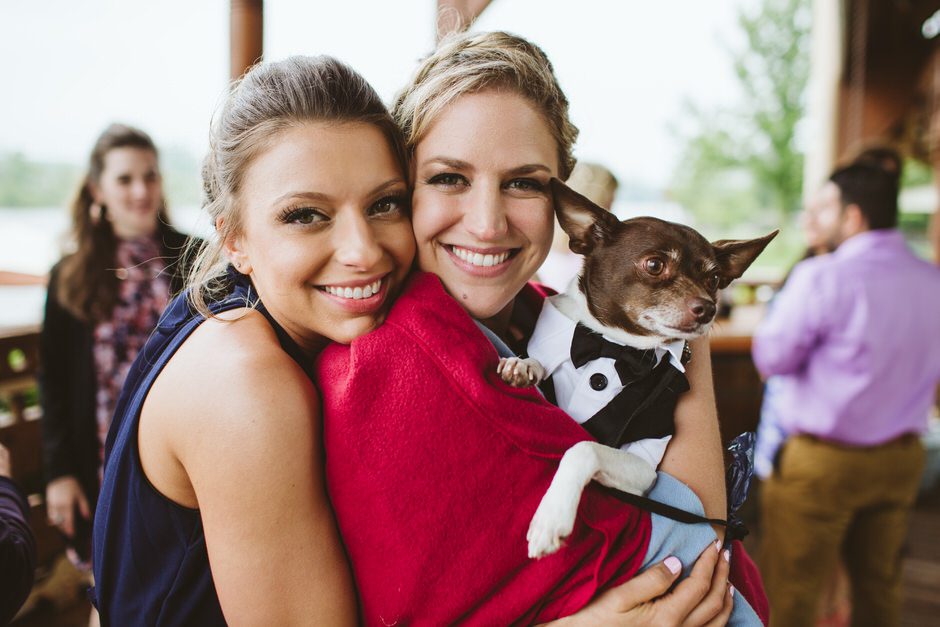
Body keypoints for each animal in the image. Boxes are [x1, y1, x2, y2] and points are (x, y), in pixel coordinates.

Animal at [498, 179, 777, 559]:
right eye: (655, 265)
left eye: (715, 278)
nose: (708, 308)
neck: (615, 345)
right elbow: (540, 358)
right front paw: (523, 364)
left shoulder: (644, 469)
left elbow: (584, 448)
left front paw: (551, 517)